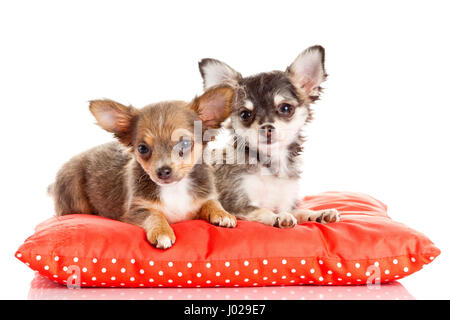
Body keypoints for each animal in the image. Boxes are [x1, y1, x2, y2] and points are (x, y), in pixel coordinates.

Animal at [48, 85, 237, 250]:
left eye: (184, 143)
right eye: (142, 148)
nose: (163, 171)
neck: (175, 189)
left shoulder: (203, 198)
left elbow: (212, 203)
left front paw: (223, 214)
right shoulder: (137, 210)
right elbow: (155, 214)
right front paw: (162, 232)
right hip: (73, 191)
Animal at [199, 46, 340, 229]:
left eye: (286, 108)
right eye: (245, 114)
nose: (266, 127)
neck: (271, 163)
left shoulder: (286, 202)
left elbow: (301, 211)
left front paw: (319, 214)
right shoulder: (237, 204)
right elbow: (262, 210)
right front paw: (278, 217)